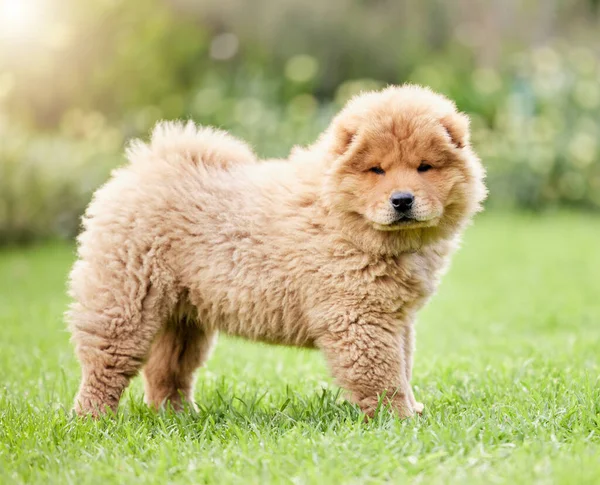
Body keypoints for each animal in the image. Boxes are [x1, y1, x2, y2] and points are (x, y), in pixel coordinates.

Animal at [67, 83, 488, 416]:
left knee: (167, 371)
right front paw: (399, 418)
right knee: (105, 364)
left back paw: (178, 415)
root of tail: (141, 167)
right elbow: (383, 374)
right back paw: (93, 419)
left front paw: (412, 410)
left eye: (424, 167)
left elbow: (403, 363)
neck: (341, 219)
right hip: (126, 301)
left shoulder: (396, 317)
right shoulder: (359, 317)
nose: (402, 200)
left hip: (182, 317)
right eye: (377, 170)